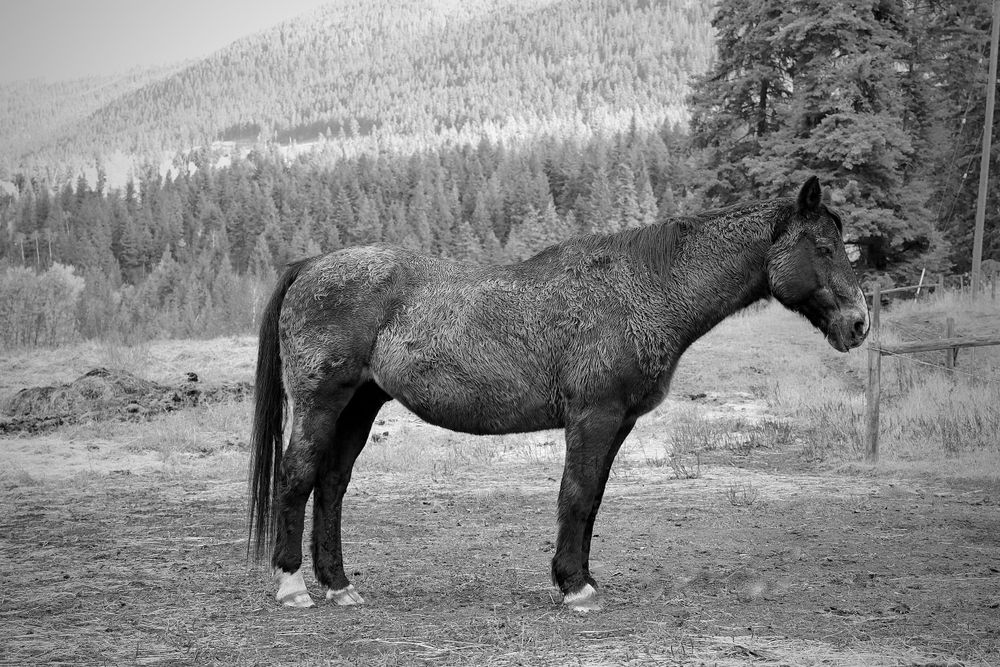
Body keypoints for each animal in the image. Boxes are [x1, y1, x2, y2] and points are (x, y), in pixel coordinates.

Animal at [247, 176, 869, 612]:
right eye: (822, 246)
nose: (859, 324)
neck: (639, 289)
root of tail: (312, 266)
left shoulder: (619, 423)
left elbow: (592, 500)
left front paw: (581, 578)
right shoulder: (593, 417)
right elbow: (576, 494)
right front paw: (574, 588)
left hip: (359, 405)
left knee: (332, 484)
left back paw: (339, 585)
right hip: (323, 402)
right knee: (298, 475)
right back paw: (292, 585)